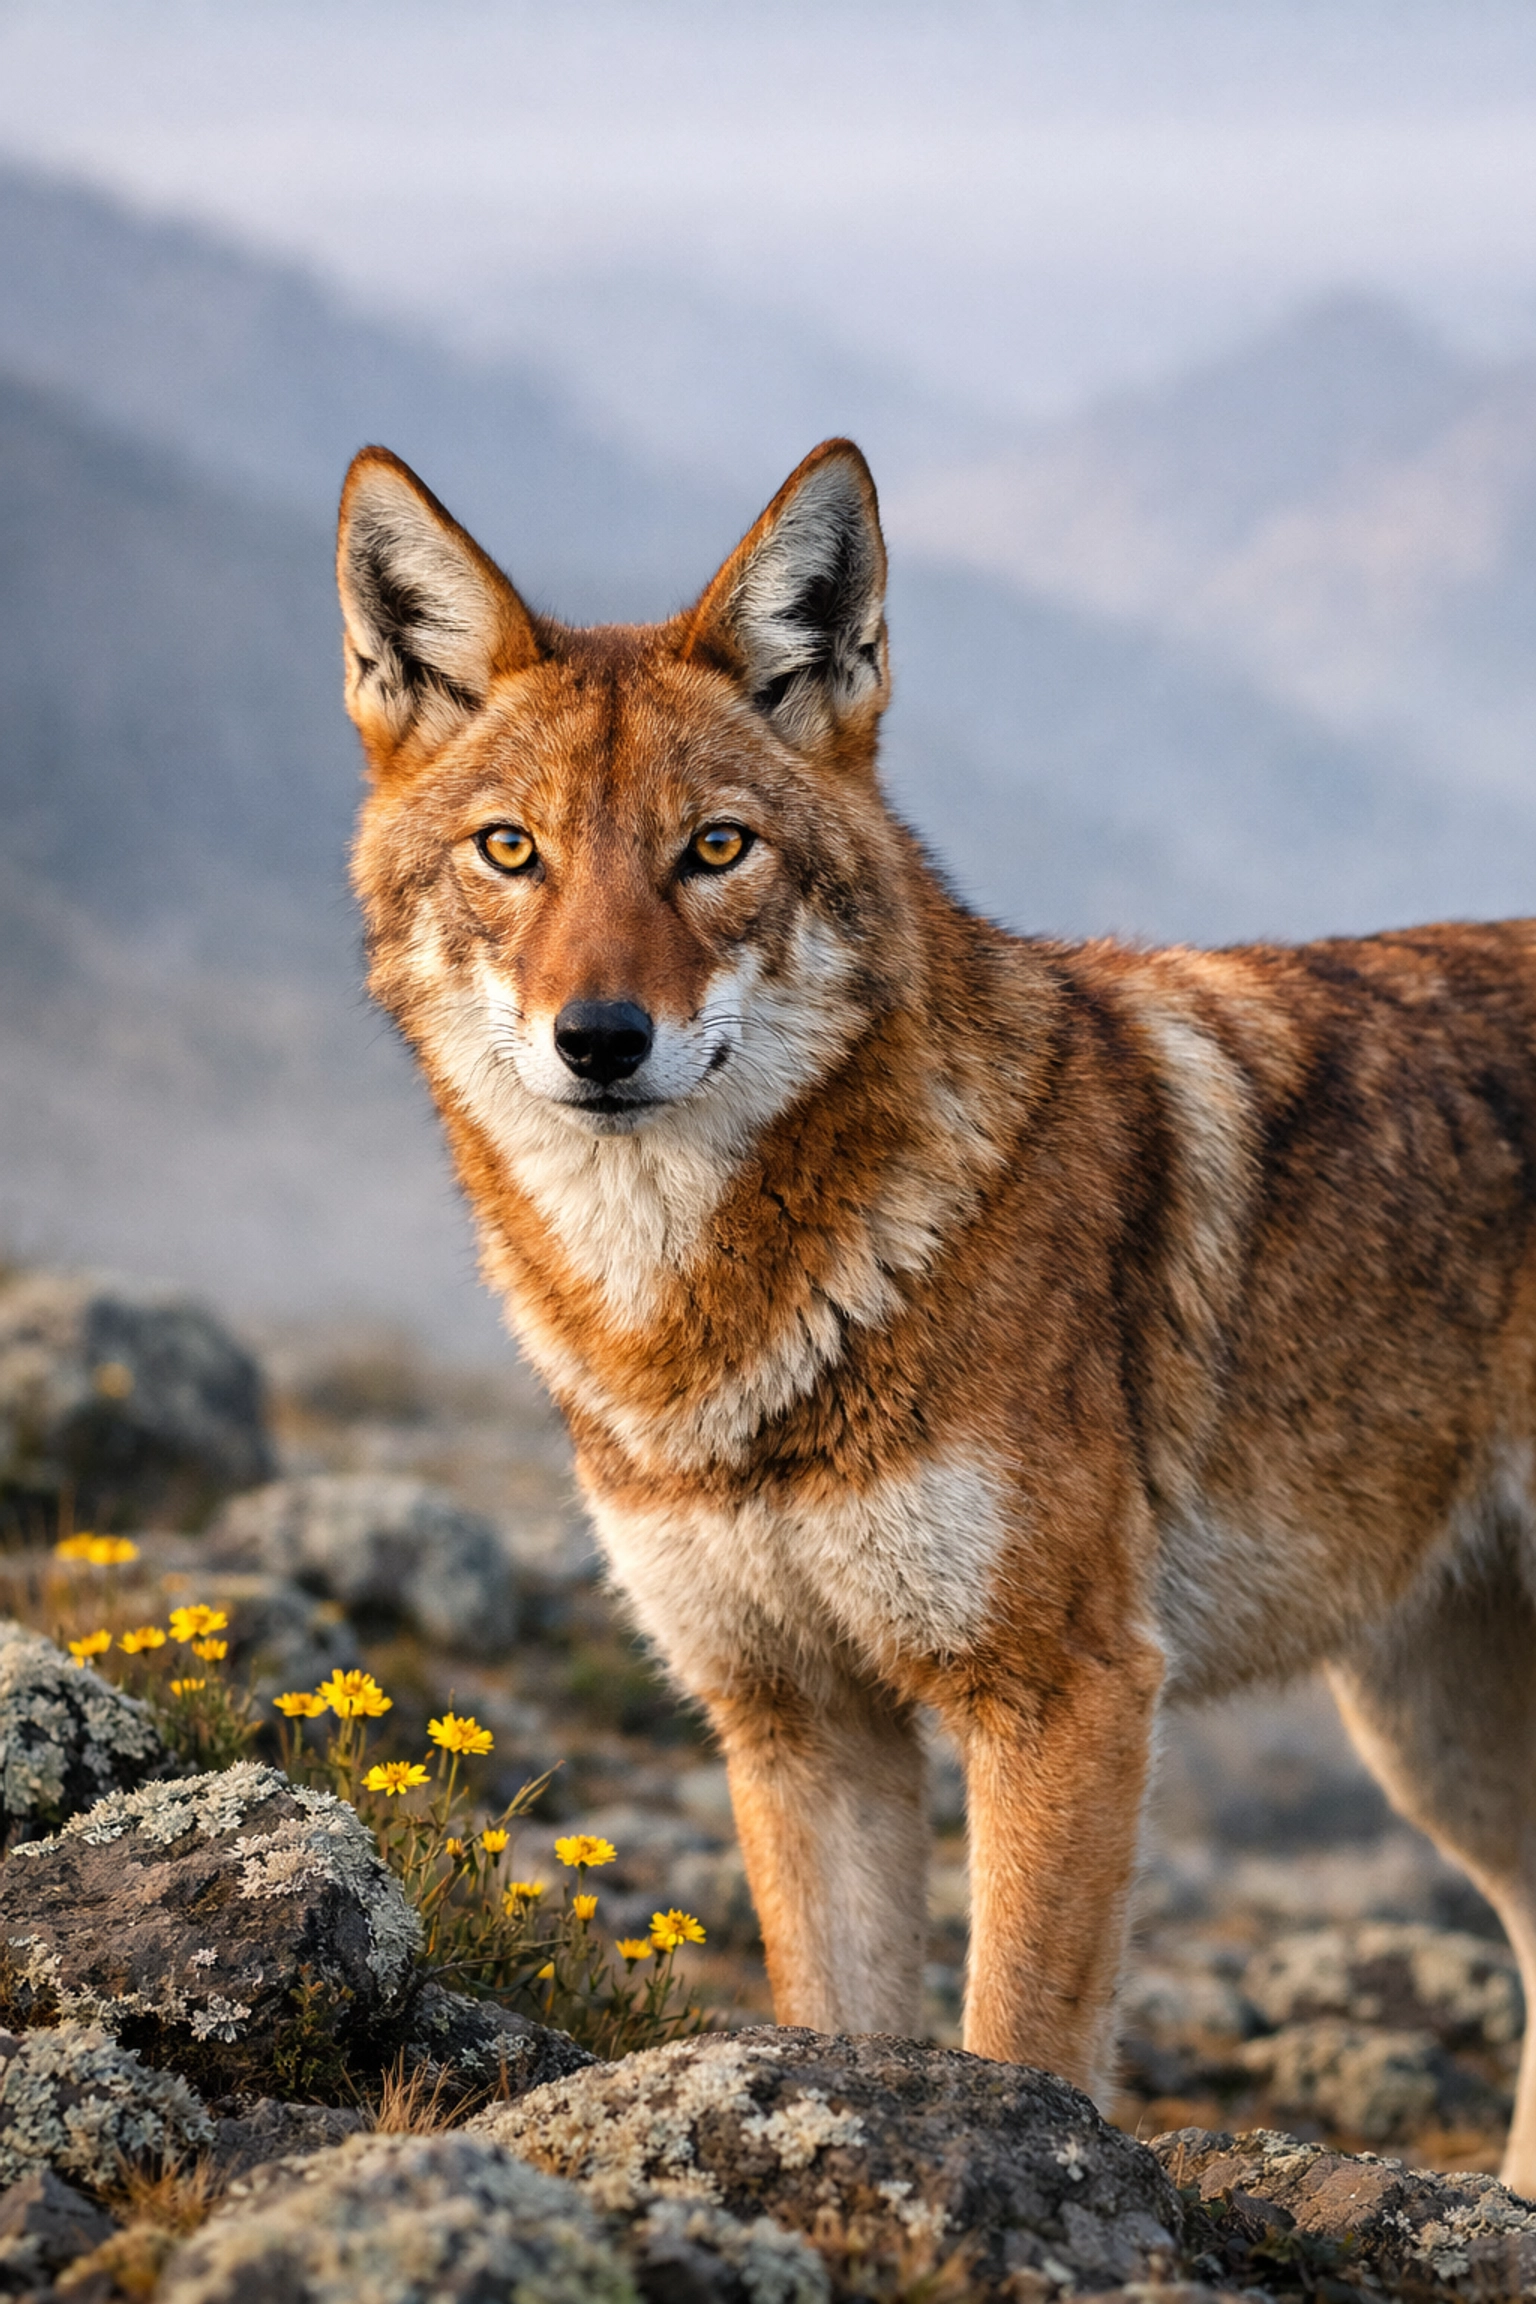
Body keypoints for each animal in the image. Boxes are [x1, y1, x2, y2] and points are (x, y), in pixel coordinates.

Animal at [337, 436, 1536, 2189]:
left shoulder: (1062, 1696)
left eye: (715, 849)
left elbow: (1021, 2036)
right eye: (511, 850)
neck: (710, 1330)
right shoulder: (796, 1721)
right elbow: (839, 2022)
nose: (602, 1037)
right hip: (1432, 1736)